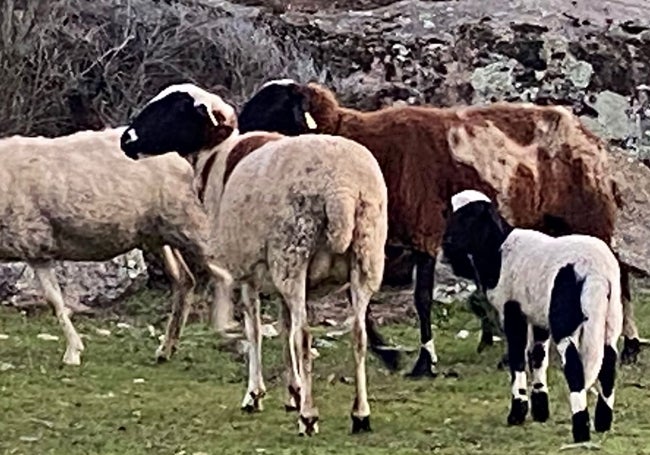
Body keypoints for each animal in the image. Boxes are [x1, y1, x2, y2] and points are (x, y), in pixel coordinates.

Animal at [0, 124, 233, 366]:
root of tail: (181, 158)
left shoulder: (34, 239)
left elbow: (55, 301)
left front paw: (73, 353)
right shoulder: (35, 250)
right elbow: (55, 300)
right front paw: (74, 349)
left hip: (188, 220)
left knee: (225, 274)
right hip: (158, 233)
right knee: (185, 280)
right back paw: (166, 349)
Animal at [119, 83, 388, 436]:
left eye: (175, 108)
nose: (125, 140)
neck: (215, 159)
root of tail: (342, 190)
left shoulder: (246, 268)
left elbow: (256, 329)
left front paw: (255, 395)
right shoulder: (274, 275)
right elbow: (284, 326)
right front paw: (293, 392)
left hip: (293, 252)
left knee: (304, 336)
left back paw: (309, 418)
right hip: (364, 257)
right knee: (358, 334)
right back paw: (360, 415)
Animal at [234, 79, 636, 378]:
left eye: (272, 107)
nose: (240, 144)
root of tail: (588, 135)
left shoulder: (424, 231)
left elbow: (422, 299)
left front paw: (424, 361)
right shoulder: (385, 241)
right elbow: (359, 300)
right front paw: (389, 354)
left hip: (590, 215)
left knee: (621, 275)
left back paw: (628, 345)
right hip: (553, 224)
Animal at [438, 189, 620, 446]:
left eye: (471, 217)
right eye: (450, 213)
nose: (447, 243)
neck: (499, 251)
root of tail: (596, 272)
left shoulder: (513, 310)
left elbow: (517, 357)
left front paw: (518, 411)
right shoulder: (538, 315)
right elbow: (538, 356)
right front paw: (540, 410)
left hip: (565, 320)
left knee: (575, 367)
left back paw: (580, 430)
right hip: (610, 317)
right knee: (609, 363)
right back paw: (603, 423)